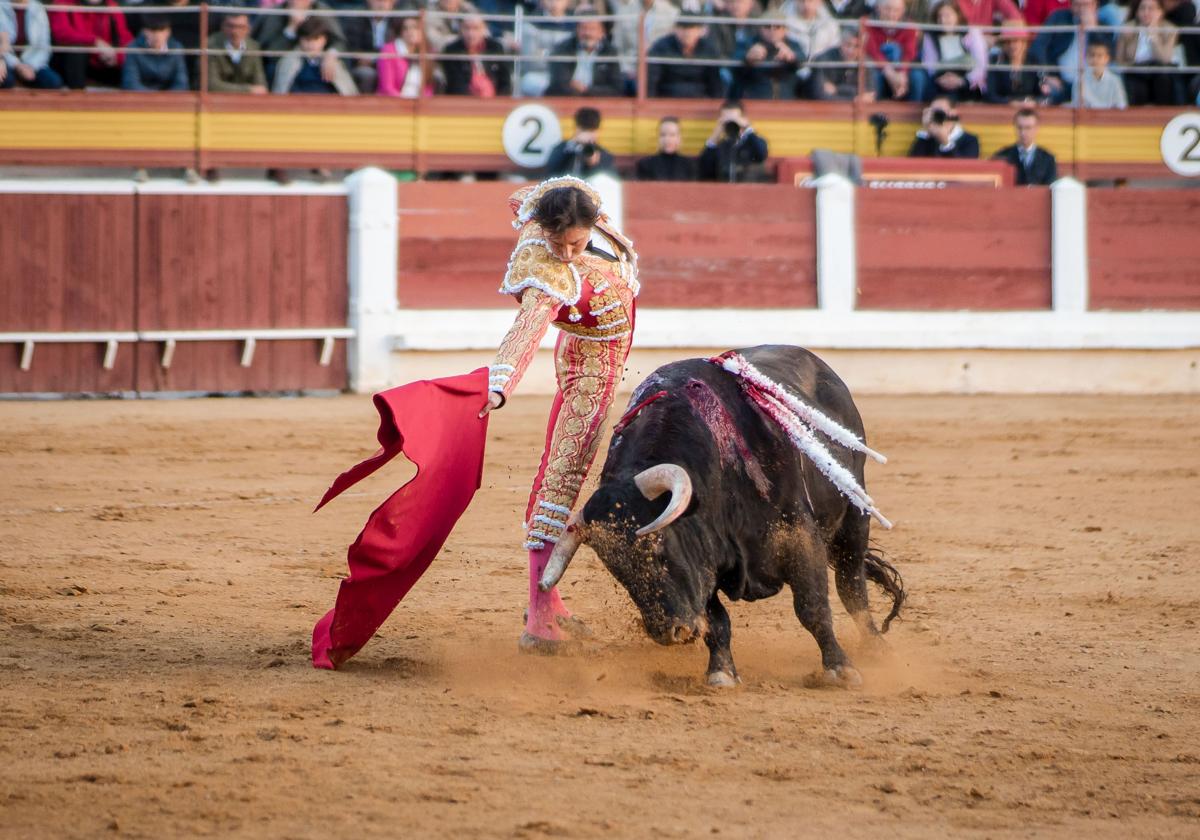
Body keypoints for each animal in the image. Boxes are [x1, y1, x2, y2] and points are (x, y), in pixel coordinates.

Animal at [540, 345, 902, 686]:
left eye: (659, 548)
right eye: (618, 571)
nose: (670, 633)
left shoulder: (799, 535)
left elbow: (812, 607)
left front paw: (840, 668)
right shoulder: (704, 560)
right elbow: (717, 621)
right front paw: (721, 673)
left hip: (854, 516)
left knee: (851, 584)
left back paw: (875, 648)